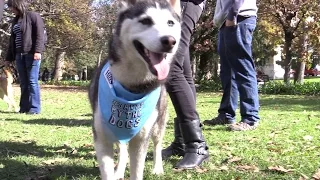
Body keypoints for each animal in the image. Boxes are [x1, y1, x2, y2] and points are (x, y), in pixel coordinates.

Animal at [89, 0, 181, 179]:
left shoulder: (141, 139)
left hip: (158, 124)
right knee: (123, 148)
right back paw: (119, 170)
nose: (169, 41)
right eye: (145, 21)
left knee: (157, 144)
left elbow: (138, 170)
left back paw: (157, 168)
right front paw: (115, 172)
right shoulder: (102, 139)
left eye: (170, 23)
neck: (133, 86)